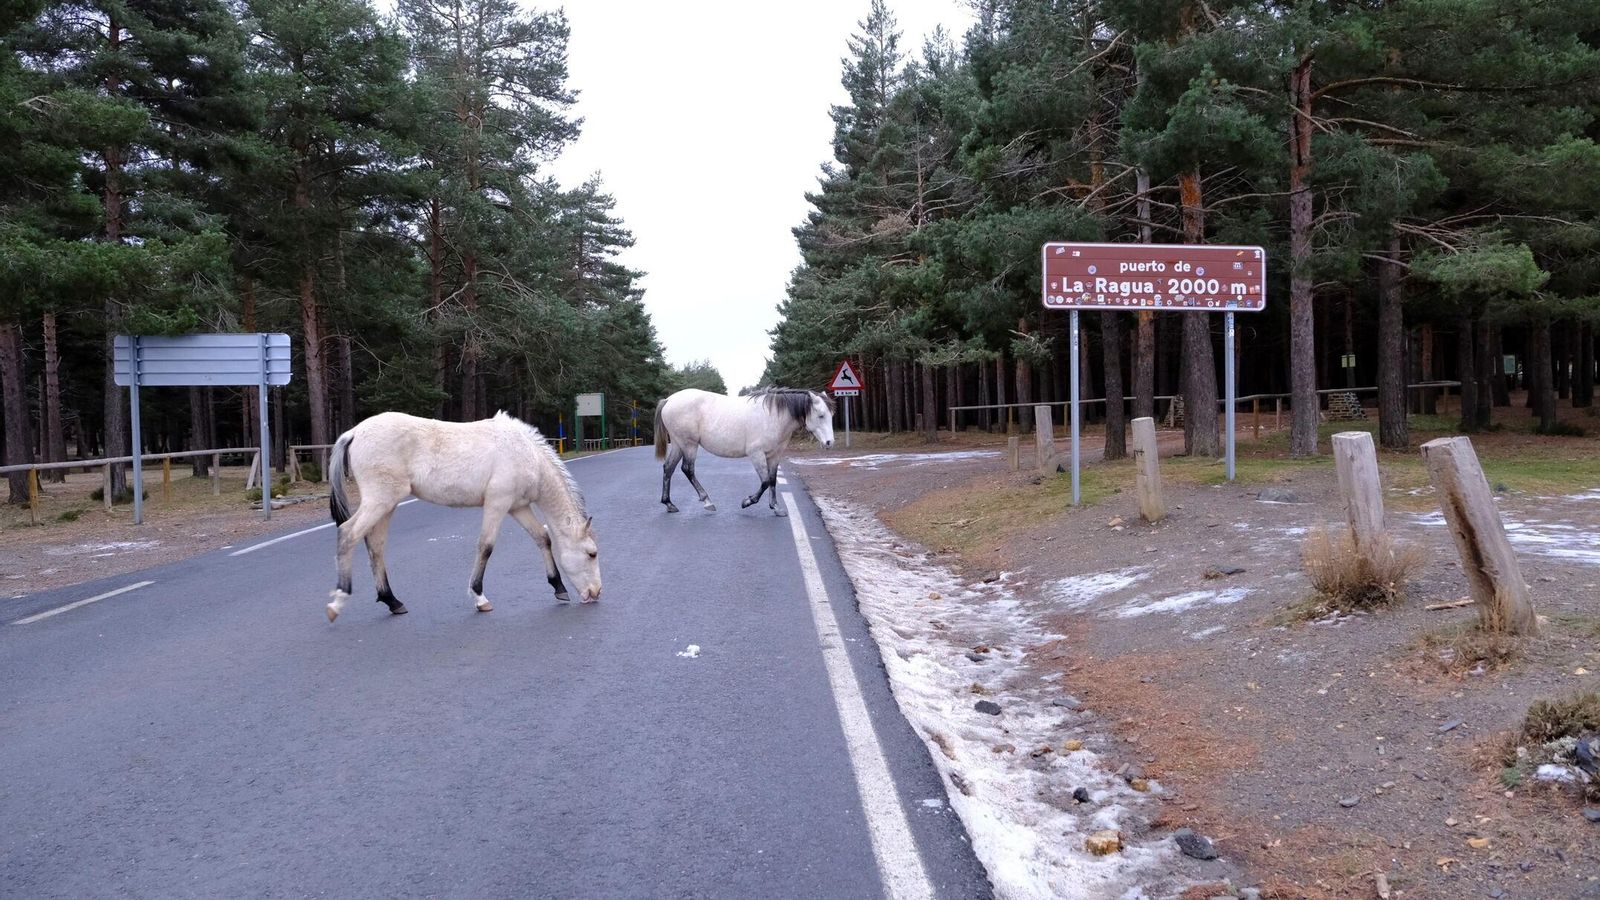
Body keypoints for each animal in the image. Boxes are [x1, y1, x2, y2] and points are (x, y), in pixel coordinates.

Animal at [325, 411, 601, 622]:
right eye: (591, 554)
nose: (596, 592)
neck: (526, 454)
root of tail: (354, 432)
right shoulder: (497, 504)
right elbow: (486, 546)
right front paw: (479, 597)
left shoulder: (517, 507)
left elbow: (542, 537)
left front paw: (559, 587)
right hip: (380, 500)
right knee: (348, 534)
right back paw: (338, 600)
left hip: (387, 504)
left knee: (375, 546)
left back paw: (392, 601)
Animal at [653, 388, 835, 517]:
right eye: (821, 415)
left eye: (831, 415)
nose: (829, 443)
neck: (773, 416)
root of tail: (669, 400)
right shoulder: (756, 454)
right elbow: (765, 482)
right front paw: (747, 501)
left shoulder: (775, 456)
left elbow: (773, 481)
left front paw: (776, 507)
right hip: (689, 445)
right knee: (687, 469)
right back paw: (707, 502)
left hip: (678, 444)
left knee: (668, 468)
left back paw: (669, 504)